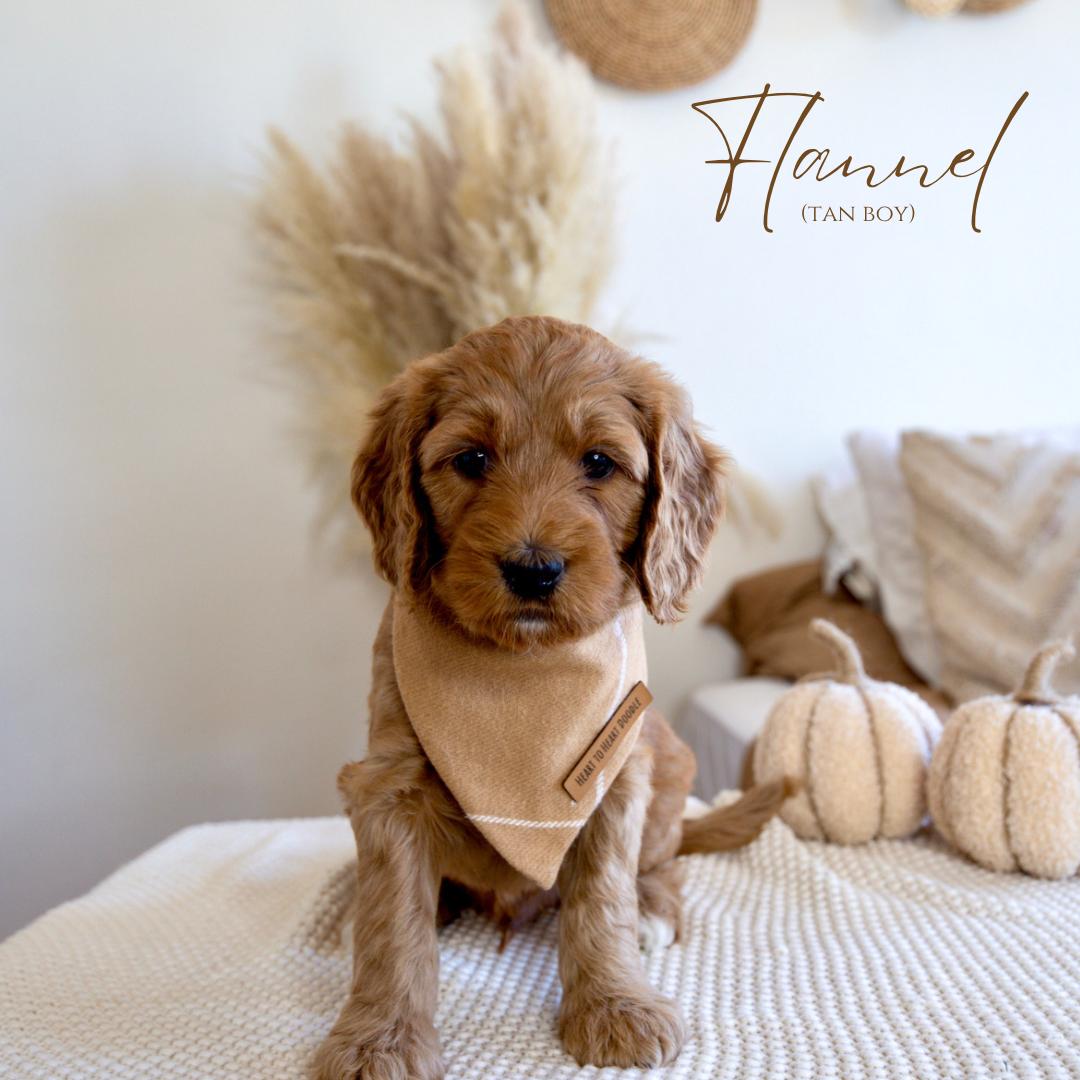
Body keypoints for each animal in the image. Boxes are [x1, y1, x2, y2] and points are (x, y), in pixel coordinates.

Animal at [312, 315, 791, 1080]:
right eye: (472, 459)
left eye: (598, 462)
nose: (533, 569)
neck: (523, 669)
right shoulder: (387, 785)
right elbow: (391, 923)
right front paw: (377, 1039)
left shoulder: (613, 778)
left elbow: (602, 900)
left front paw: (615, 1006)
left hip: (669, 770)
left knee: (663, 862)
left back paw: (653, 908)